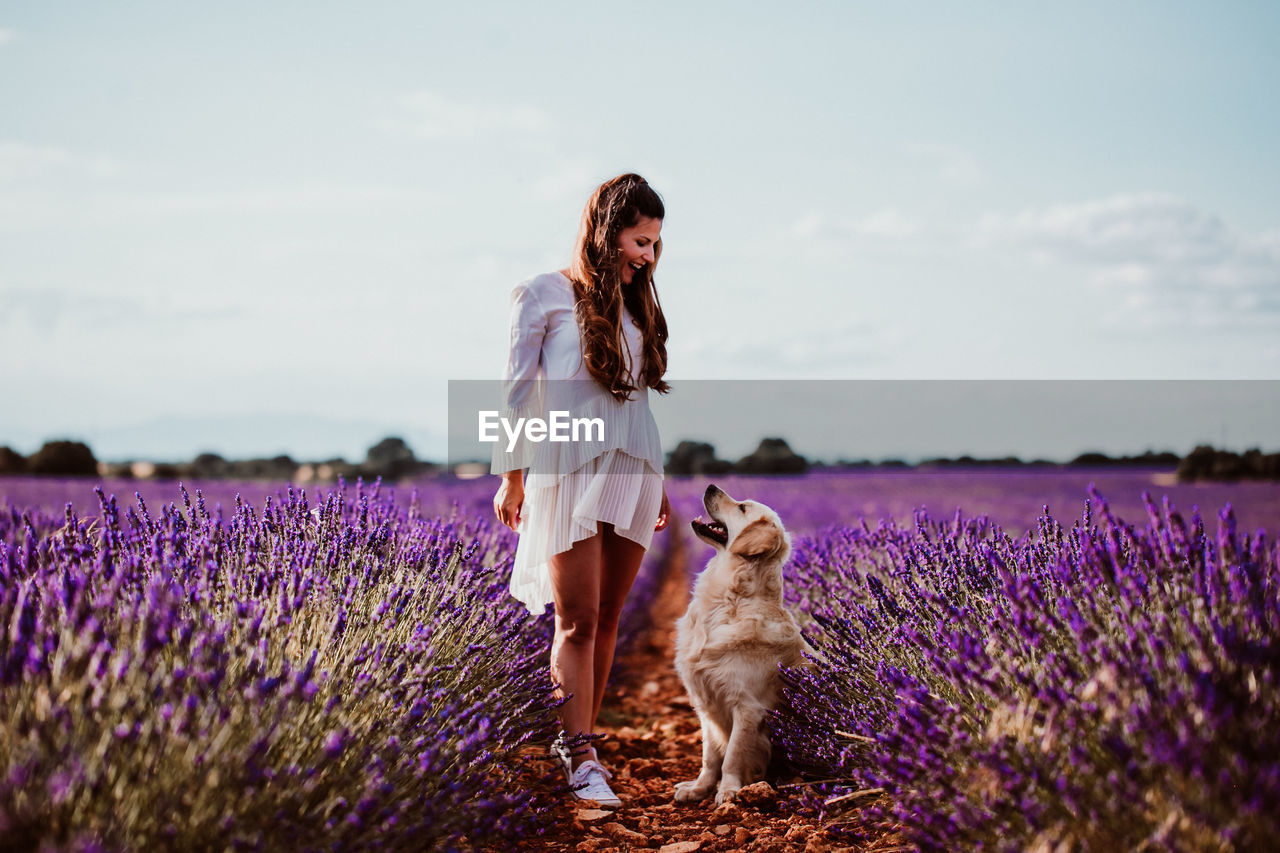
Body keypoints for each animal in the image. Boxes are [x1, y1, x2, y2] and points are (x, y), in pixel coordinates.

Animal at [675, 481, 803, 799]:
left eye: (742, 507)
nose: (710, 486)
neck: (728, 602)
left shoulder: (747, 707)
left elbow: (732, 754)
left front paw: (729, 791)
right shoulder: (705, 704)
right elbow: (710, 756)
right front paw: (698, 788)